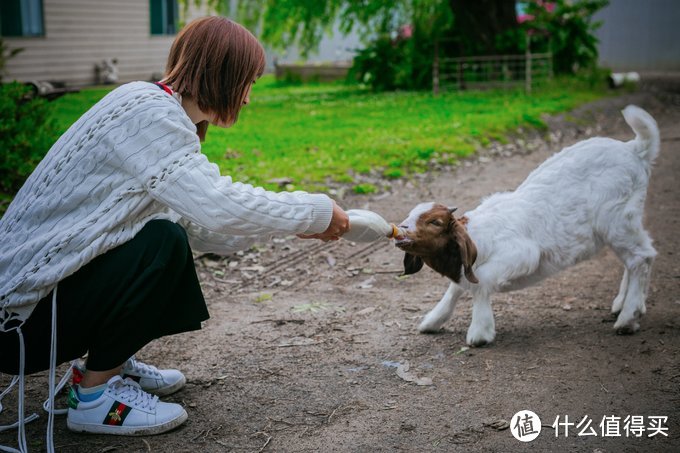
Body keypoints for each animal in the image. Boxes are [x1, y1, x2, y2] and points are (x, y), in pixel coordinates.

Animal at [396, 105, 660, 346]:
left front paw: (480, 332)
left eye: (435, 222)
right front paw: (432, 322)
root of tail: (635, 149)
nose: (400, 232)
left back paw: (628, 319)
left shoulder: (522, 254)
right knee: (635, 258)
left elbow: (481, 281)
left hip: (618, 218)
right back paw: (623, 306)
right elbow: (455, 288)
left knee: (642, 257)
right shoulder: (465, 266)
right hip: (622, 224)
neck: (480, 236)